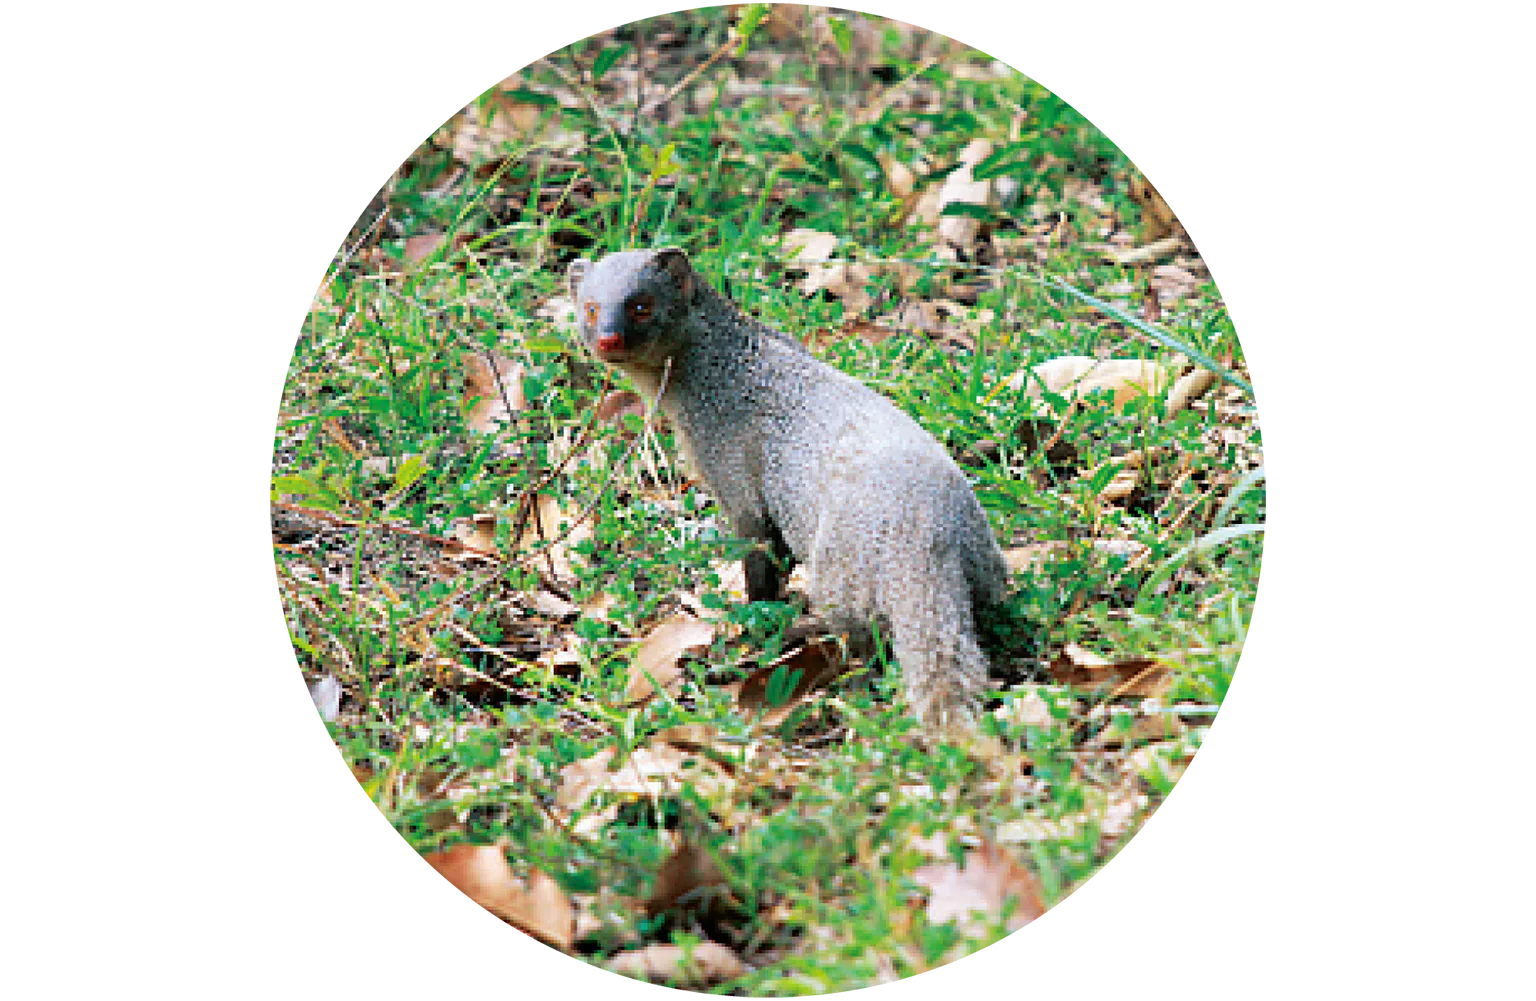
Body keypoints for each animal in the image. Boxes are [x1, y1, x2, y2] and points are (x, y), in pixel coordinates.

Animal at [568, 248, 1009, 729]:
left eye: (640, 305)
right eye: (591, 308)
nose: (608, 339)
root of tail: (927, 536)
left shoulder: (736, 476)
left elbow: (759, 561)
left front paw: (754, 625)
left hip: (837, 569)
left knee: (859, 636)